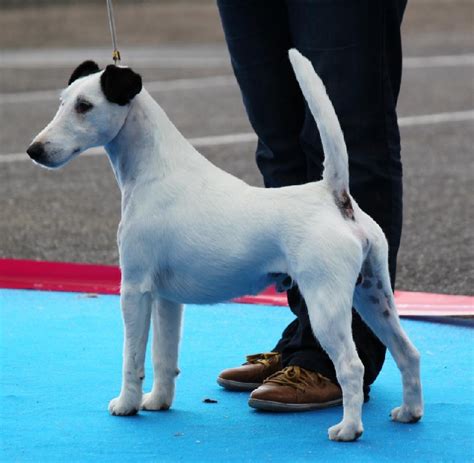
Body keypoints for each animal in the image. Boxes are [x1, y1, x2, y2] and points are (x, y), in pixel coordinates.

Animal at [27, 48, 424, 442]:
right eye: (63, 102)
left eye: (84, 106)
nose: (34, 150)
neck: (155, 169)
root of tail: (336, 196)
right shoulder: (166, 299)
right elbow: (163, 356)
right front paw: (158, 401)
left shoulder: (135, 289)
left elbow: (132, 357)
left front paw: (127, 404)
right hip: (373, 294)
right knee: (408, 352)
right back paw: (409, 413)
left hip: (325, 303)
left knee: (351, 367)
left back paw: (348, 428)